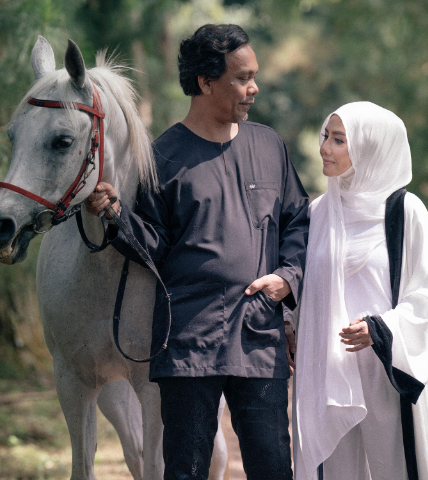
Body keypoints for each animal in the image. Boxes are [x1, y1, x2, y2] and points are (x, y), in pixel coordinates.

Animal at [0, 36, 227, 480]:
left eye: (62, 141)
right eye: (13, 137)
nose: (2, 224)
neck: (105, 273)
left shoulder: (155, 389)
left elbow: (161, 464)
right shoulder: (74, 384)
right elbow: (85, 466)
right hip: (115, 395)